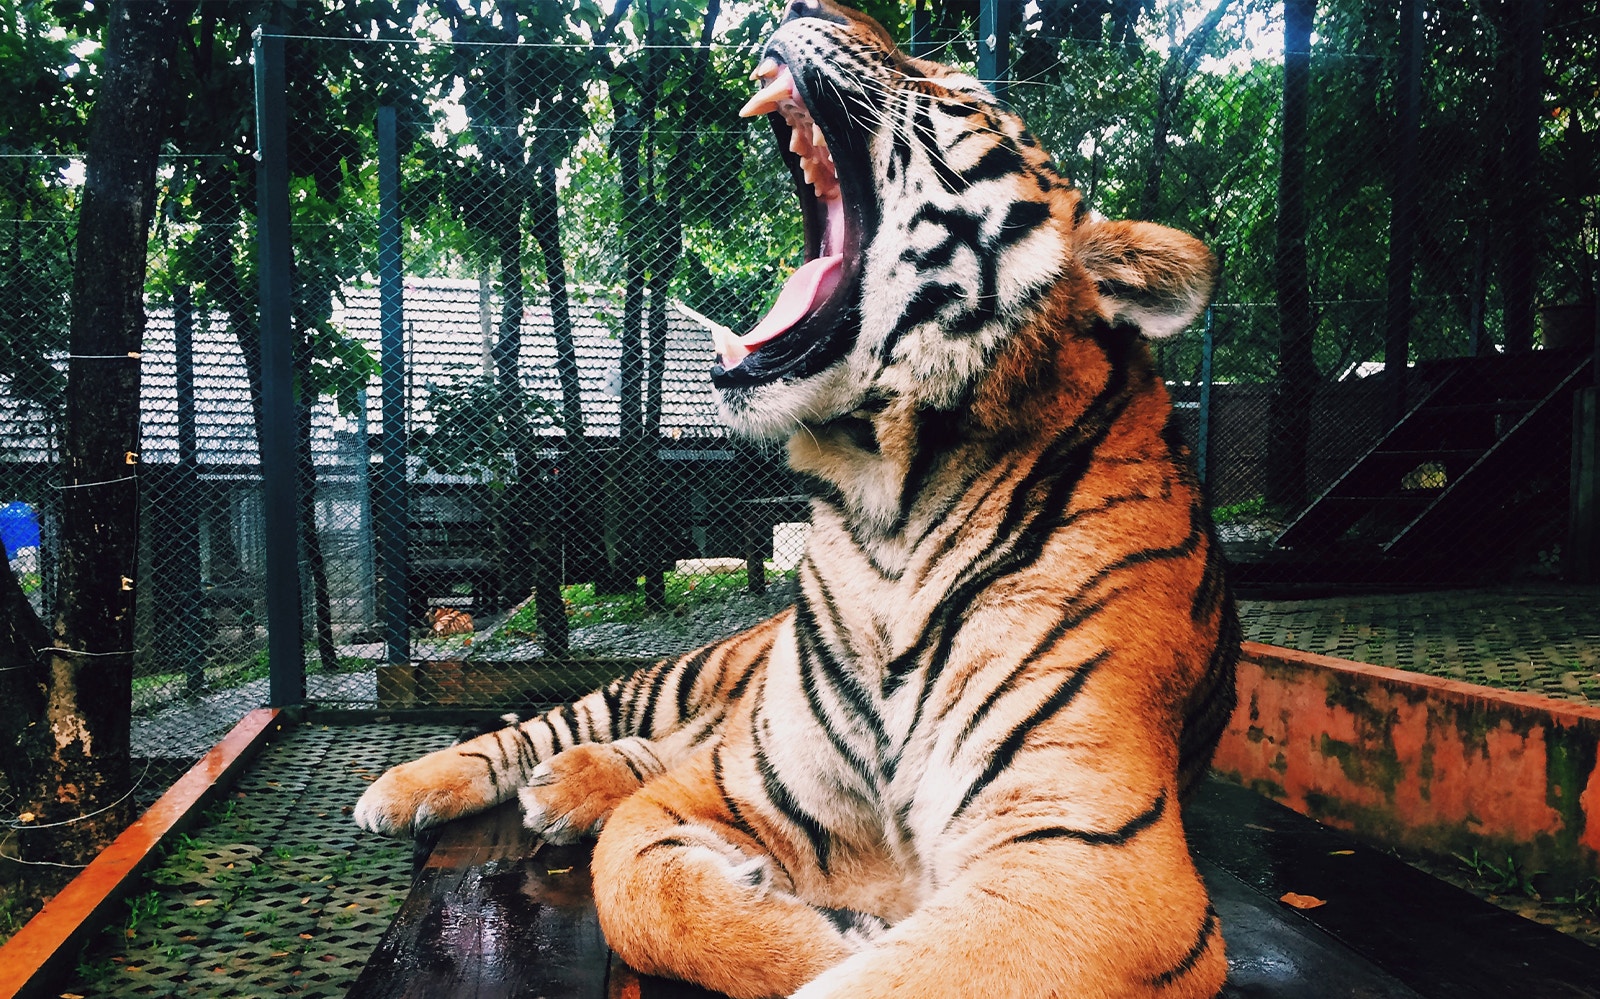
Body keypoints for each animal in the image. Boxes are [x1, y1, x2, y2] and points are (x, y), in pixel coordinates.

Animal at [354, 2, 1239, 997]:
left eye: (957, 90)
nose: (819, 10)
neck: (889, 509)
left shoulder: (1090, 851)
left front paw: (856, 936)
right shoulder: (741, 777)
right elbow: (635, 882)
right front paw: (829, 931)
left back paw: (567, 787)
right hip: (684, 675)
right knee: (554, 726)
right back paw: (407, 789)